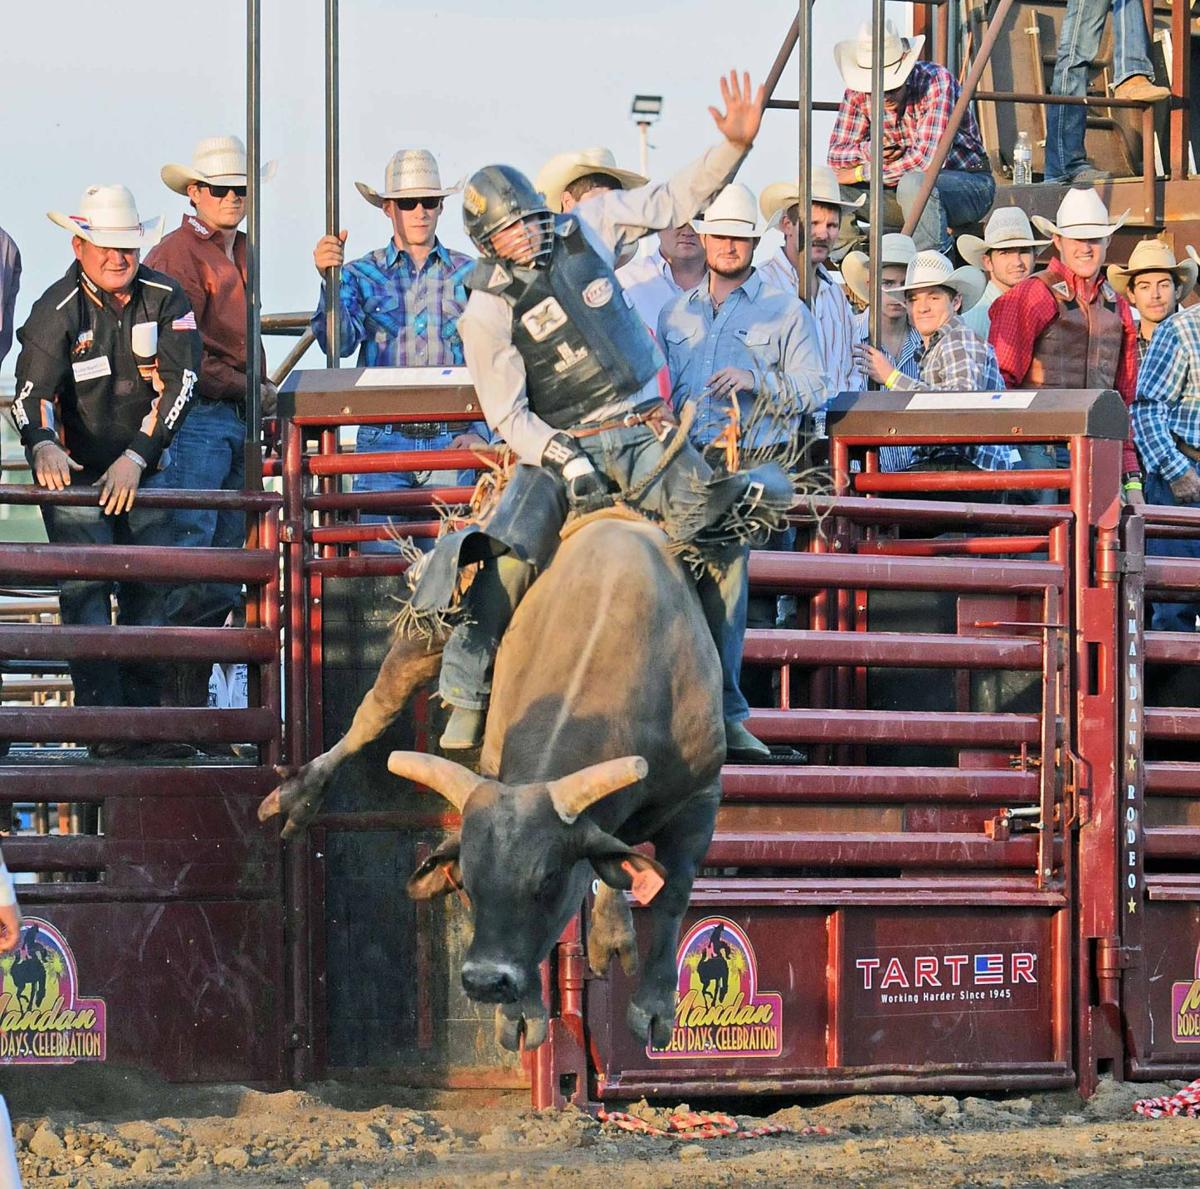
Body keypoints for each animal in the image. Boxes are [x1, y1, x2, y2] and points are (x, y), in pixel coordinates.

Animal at [260, 515, 720, 1055]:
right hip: (432, 628)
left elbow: (671, 891)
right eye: (470, 879)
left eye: (547, 881)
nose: (484, 982)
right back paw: (299, 794)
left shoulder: (701, 797)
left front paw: (653, 1008)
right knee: (375, 710)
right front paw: (522, 1014)